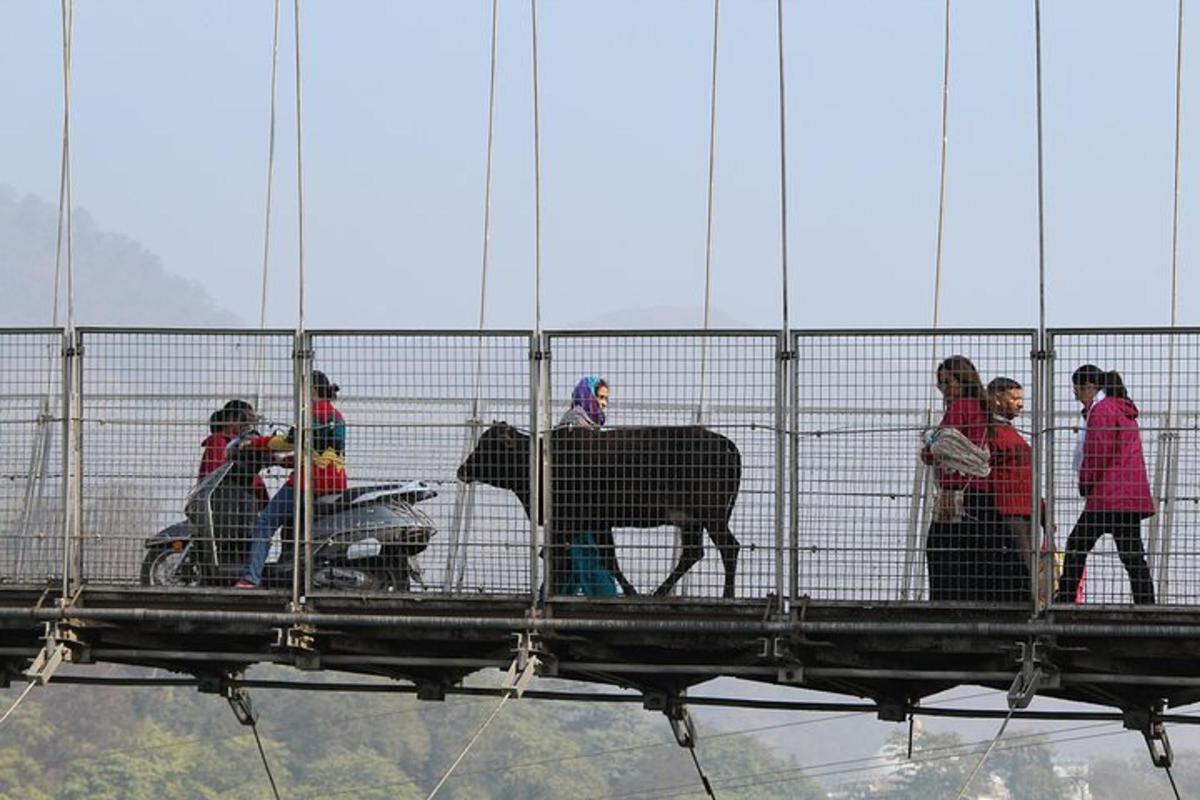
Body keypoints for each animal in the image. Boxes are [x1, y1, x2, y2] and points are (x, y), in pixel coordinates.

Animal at [456, 422, 739, 597]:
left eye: (487, 446)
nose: (462, 469)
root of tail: (725, 442)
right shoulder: (592, 523)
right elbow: (594, 558)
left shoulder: (577, 521)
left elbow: (583, 559)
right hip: (692, 520)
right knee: (692, 552)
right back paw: (660, 592)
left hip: (710, 513)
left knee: (729, 548)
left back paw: (727, 595)